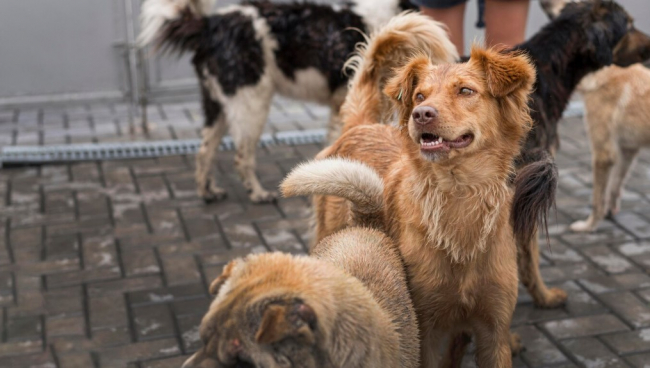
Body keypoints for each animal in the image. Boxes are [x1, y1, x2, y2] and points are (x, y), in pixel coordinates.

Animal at [140, 0, 456, 203]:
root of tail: (210, 24)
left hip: (217, 104)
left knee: (204, 150)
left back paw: (208, 192)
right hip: (251, 103)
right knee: (242, 156)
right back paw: (258, 194)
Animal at [284, 46, 556, 368]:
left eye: (466, 90)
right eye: (419, 96)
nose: (422, 114)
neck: (458, 196)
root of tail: (361, 126)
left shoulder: (494, 332)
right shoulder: (422, 331)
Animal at [568, 63, 648, 230]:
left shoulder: (603, 154)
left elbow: (597, 200)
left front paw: (589, 226)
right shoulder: (627, 150)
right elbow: (615, 186)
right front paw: (610, 212)